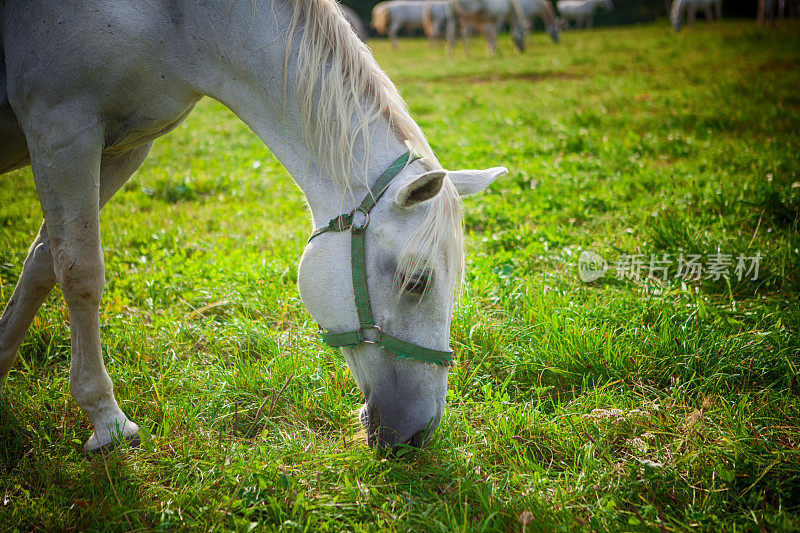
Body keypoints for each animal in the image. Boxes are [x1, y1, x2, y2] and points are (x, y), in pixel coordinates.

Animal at [0, 0, 506, 454]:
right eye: (417, 282)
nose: (420, 433)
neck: (176, 19)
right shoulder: (63, 127)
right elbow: (80, 272)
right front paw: (106, 420)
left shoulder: (123, 147)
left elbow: (44, 260)